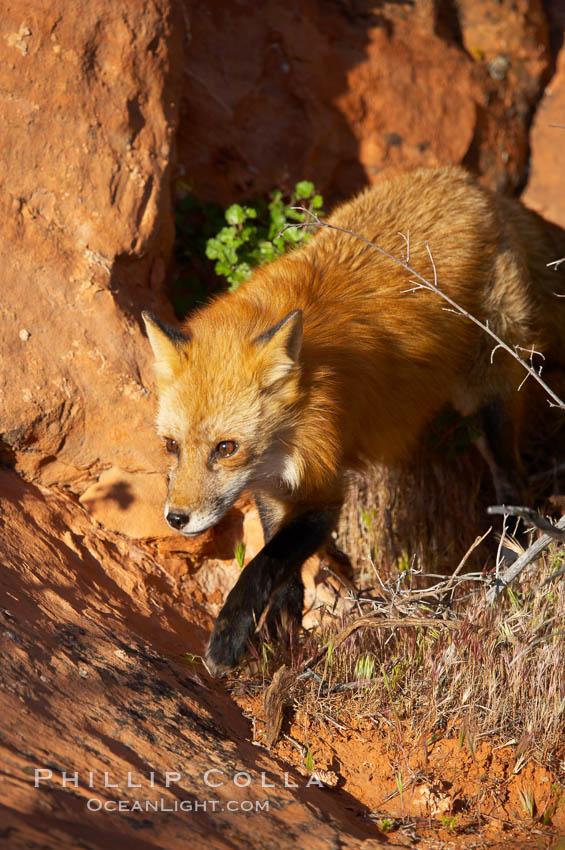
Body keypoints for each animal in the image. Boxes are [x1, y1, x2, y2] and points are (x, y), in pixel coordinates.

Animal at [142, 164, 564, 668]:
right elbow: (279, 548)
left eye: (225, 448)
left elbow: (267, 560)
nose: (176, 519)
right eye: (171, 445)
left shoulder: (324, 484)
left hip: (486, 398)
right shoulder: (277, 481)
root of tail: (468, 184)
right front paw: (285, 616)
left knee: (510, 483)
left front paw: (231, 631)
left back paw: (510, 560)